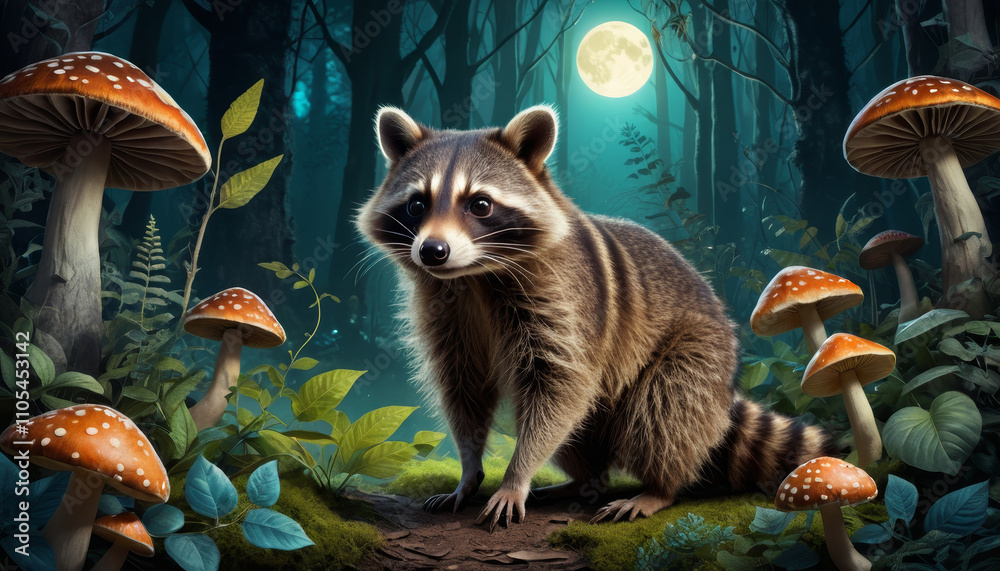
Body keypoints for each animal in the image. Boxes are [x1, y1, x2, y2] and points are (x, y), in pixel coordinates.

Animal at [357, 105, 837, 528]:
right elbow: (465, 387)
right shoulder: (446, 313)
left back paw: (659, 488)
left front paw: (516, 476)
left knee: (665, 408)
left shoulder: (566, 302)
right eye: (417, 205)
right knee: (584, 433)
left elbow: (560, 386)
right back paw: (582, 480)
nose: (432, 251)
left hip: (700, 350)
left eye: (479, 204)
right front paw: (469, 469)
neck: (474, 275)